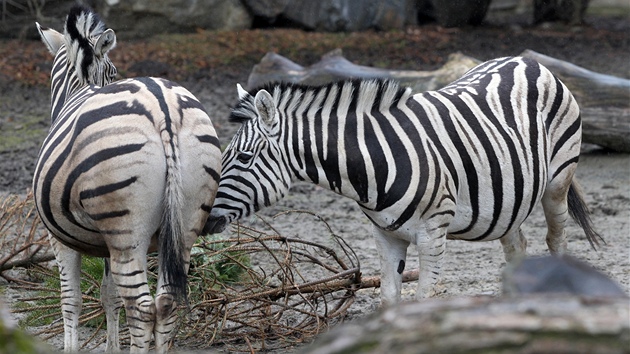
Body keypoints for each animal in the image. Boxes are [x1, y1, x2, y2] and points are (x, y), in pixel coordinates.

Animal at [33, 5, 223, 352]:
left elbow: (71, 300)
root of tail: (162, 109)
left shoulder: (59, 238)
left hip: (126, 230)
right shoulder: (103, 243)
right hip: (186, 222)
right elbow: (109, 296)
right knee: (166, 302)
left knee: (142, 307)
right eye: (114, 71)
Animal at [205, 56, 604, 306]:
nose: (205, 218)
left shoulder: (432, 234)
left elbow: (423, 298)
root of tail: (528, 61)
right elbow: (389, 298)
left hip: (558, 181)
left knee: (556, 238)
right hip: (511, 196)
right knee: (517, 244)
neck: (372, 164)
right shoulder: (385, 235)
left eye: (243, 158)